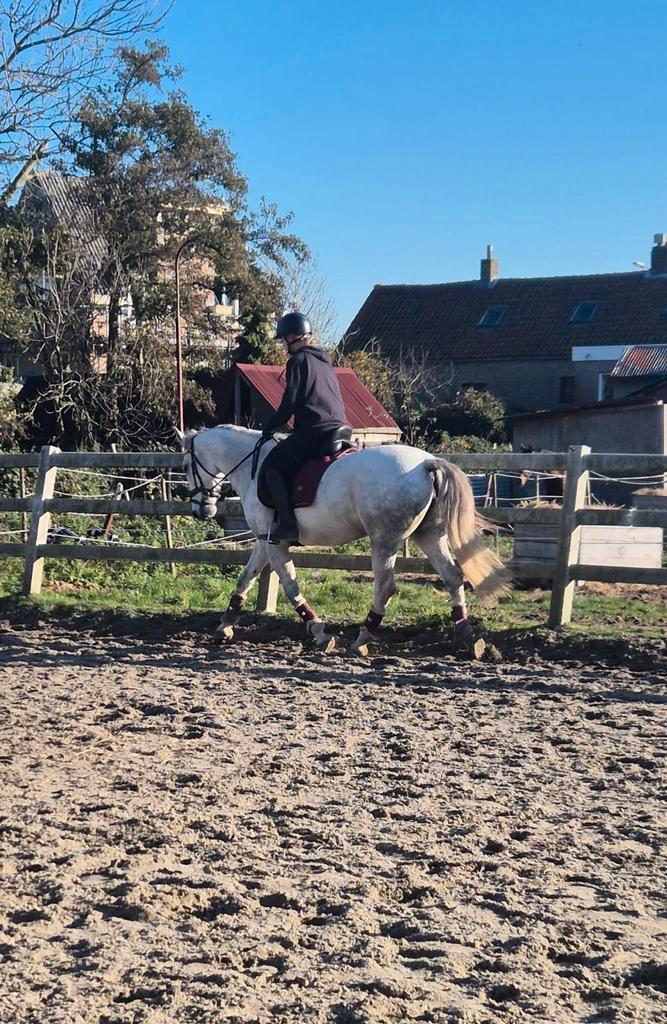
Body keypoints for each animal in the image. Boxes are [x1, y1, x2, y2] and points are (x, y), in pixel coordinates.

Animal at [177, 425, 511, 657]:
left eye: (185, 467)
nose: (201, 509)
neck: (252, 465)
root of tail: (427, 463)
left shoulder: (275, 543)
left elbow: (290, 586)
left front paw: (320, 634)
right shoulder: (263, 541)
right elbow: (245, 579)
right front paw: (224, 626)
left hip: (384, 541)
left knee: (386, 587)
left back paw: (361, 640)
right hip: (428, 534)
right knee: (453, 576)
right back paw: (467, 639)